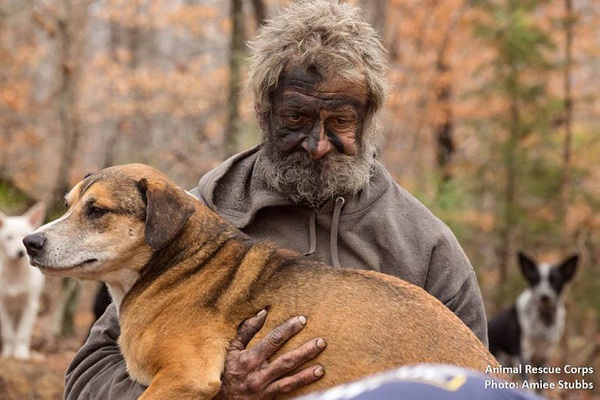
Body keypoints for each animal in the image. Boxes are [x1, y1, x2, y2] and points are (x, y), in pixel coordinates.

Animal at [0, 202, 46, 360]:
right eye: (8, 237)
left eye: (24, 236)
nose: (20, 252)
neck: (15, 274)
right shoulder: (2, 305)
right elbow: (8, 332)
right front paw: (8, 353)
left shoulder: (30, 305)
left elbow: (22, 333)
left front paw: (20, 353)